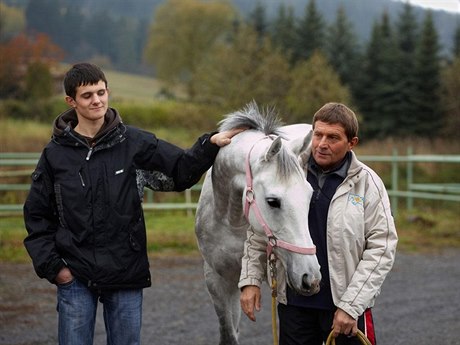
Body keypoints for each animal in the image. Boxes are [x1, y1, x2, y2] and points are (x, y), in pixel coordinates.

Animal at [196, 102, 322, 344]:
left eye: (309, 196)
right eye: (273, 201)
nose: (310, 277)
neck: (232, 222)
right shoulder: (219, 281)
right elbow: (229, 335)